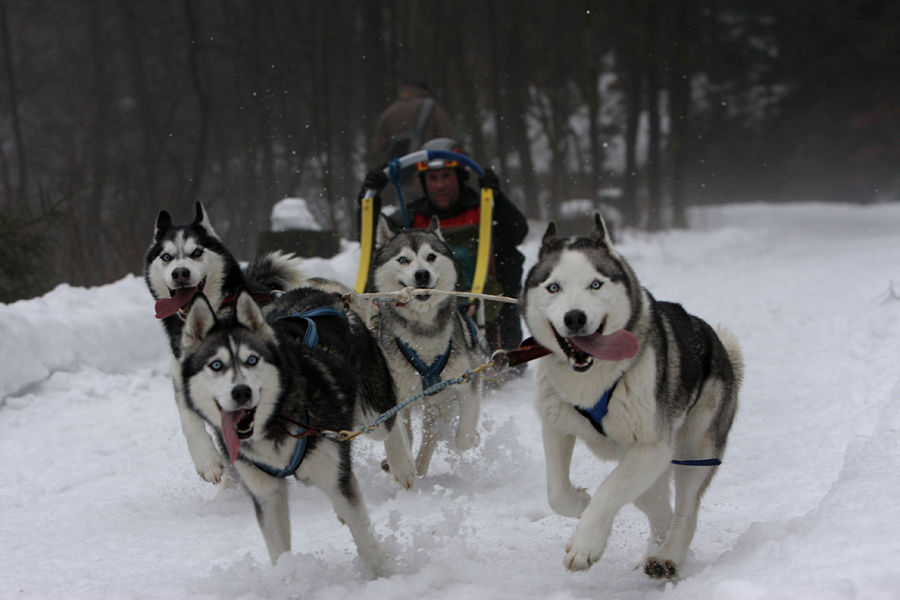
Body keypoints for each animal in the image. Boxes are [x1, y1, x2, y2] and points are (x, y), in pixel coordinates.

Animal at [144, 204, 306, 486]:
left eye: (197, 252)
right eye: (166, 256)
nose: (180, 272)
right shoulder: (185, 378)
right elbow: (189, 420)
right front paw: (206, 460)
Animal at [179, 288, 404, 568]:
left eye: (252, 360)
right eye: (216, 365)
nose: (241, 392)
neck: (276, 422)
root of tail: (318, 292)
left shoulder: (333, 473)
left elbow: (366, 542)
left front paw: (384, 573)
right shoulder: (266, 493)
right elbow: (278, 550)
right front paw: (287, 574)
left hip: (372, 413)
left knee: (392, 419)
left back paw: (403, 466)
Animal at [370, 216, 486, 478]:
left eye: (431, 256)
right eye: (403, 259)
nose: (422, 274)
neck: (423, 332)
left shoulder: (466, 381)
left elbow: (463, 437)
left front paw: (472, 438)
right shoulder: (396, 395)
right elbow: (399, 437)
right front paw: (402, 468)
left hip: (438, 403)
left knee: (431, 435)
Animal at [524, 213, 740, 580]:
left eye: (595, 284)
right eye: (553, 287)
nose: (575, 317)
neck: (591, 381)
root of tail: (716, 342)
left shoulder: (652, 447)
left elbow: (609, 491)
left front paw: (586, 543)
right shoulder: (556, 427)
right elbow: (556, 492)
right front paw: (580, 503)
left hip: (694, 448)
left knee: (685, 510)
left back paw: (669, 554)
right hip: (652, 467)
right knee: (656, 505)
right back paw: (656, 548)